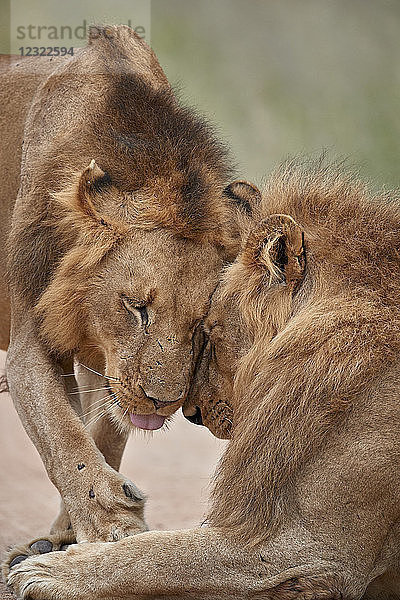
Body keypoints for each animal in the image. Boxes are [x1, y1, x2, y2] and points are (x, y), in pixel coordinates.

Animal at [0, 23, 258, 568]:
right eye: (137, 308)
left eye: (202, 326)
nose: (165, 403)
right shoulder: (32, 337)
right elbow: (63, 435)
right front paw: (111, 525)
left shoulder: (108, 367)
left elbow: (102, 435)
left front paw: (65, 538)